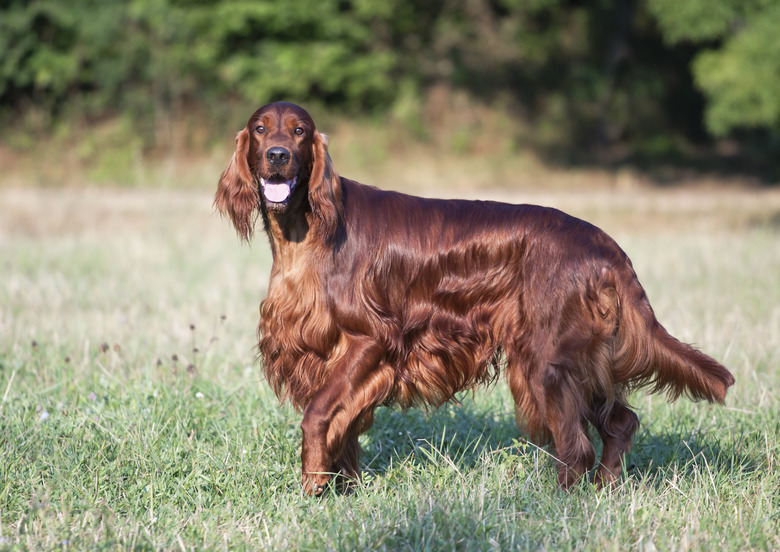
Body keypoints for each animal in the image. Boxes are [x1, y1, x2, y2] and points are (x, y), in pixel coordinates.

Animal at [216, 101, 736, 494]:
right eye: (260, 128)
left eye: (300, 131)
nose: (278, 155)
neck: (307, 231)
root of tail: (605, 246)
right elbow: (343, 429)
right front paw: (341, 488)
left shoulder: (370, 340)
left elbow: (319, 415)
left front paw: (313, 489)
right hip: (578, 360)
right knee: (620, 423)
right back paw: (606, 489)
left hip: (545, 362)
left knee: (577, 448)